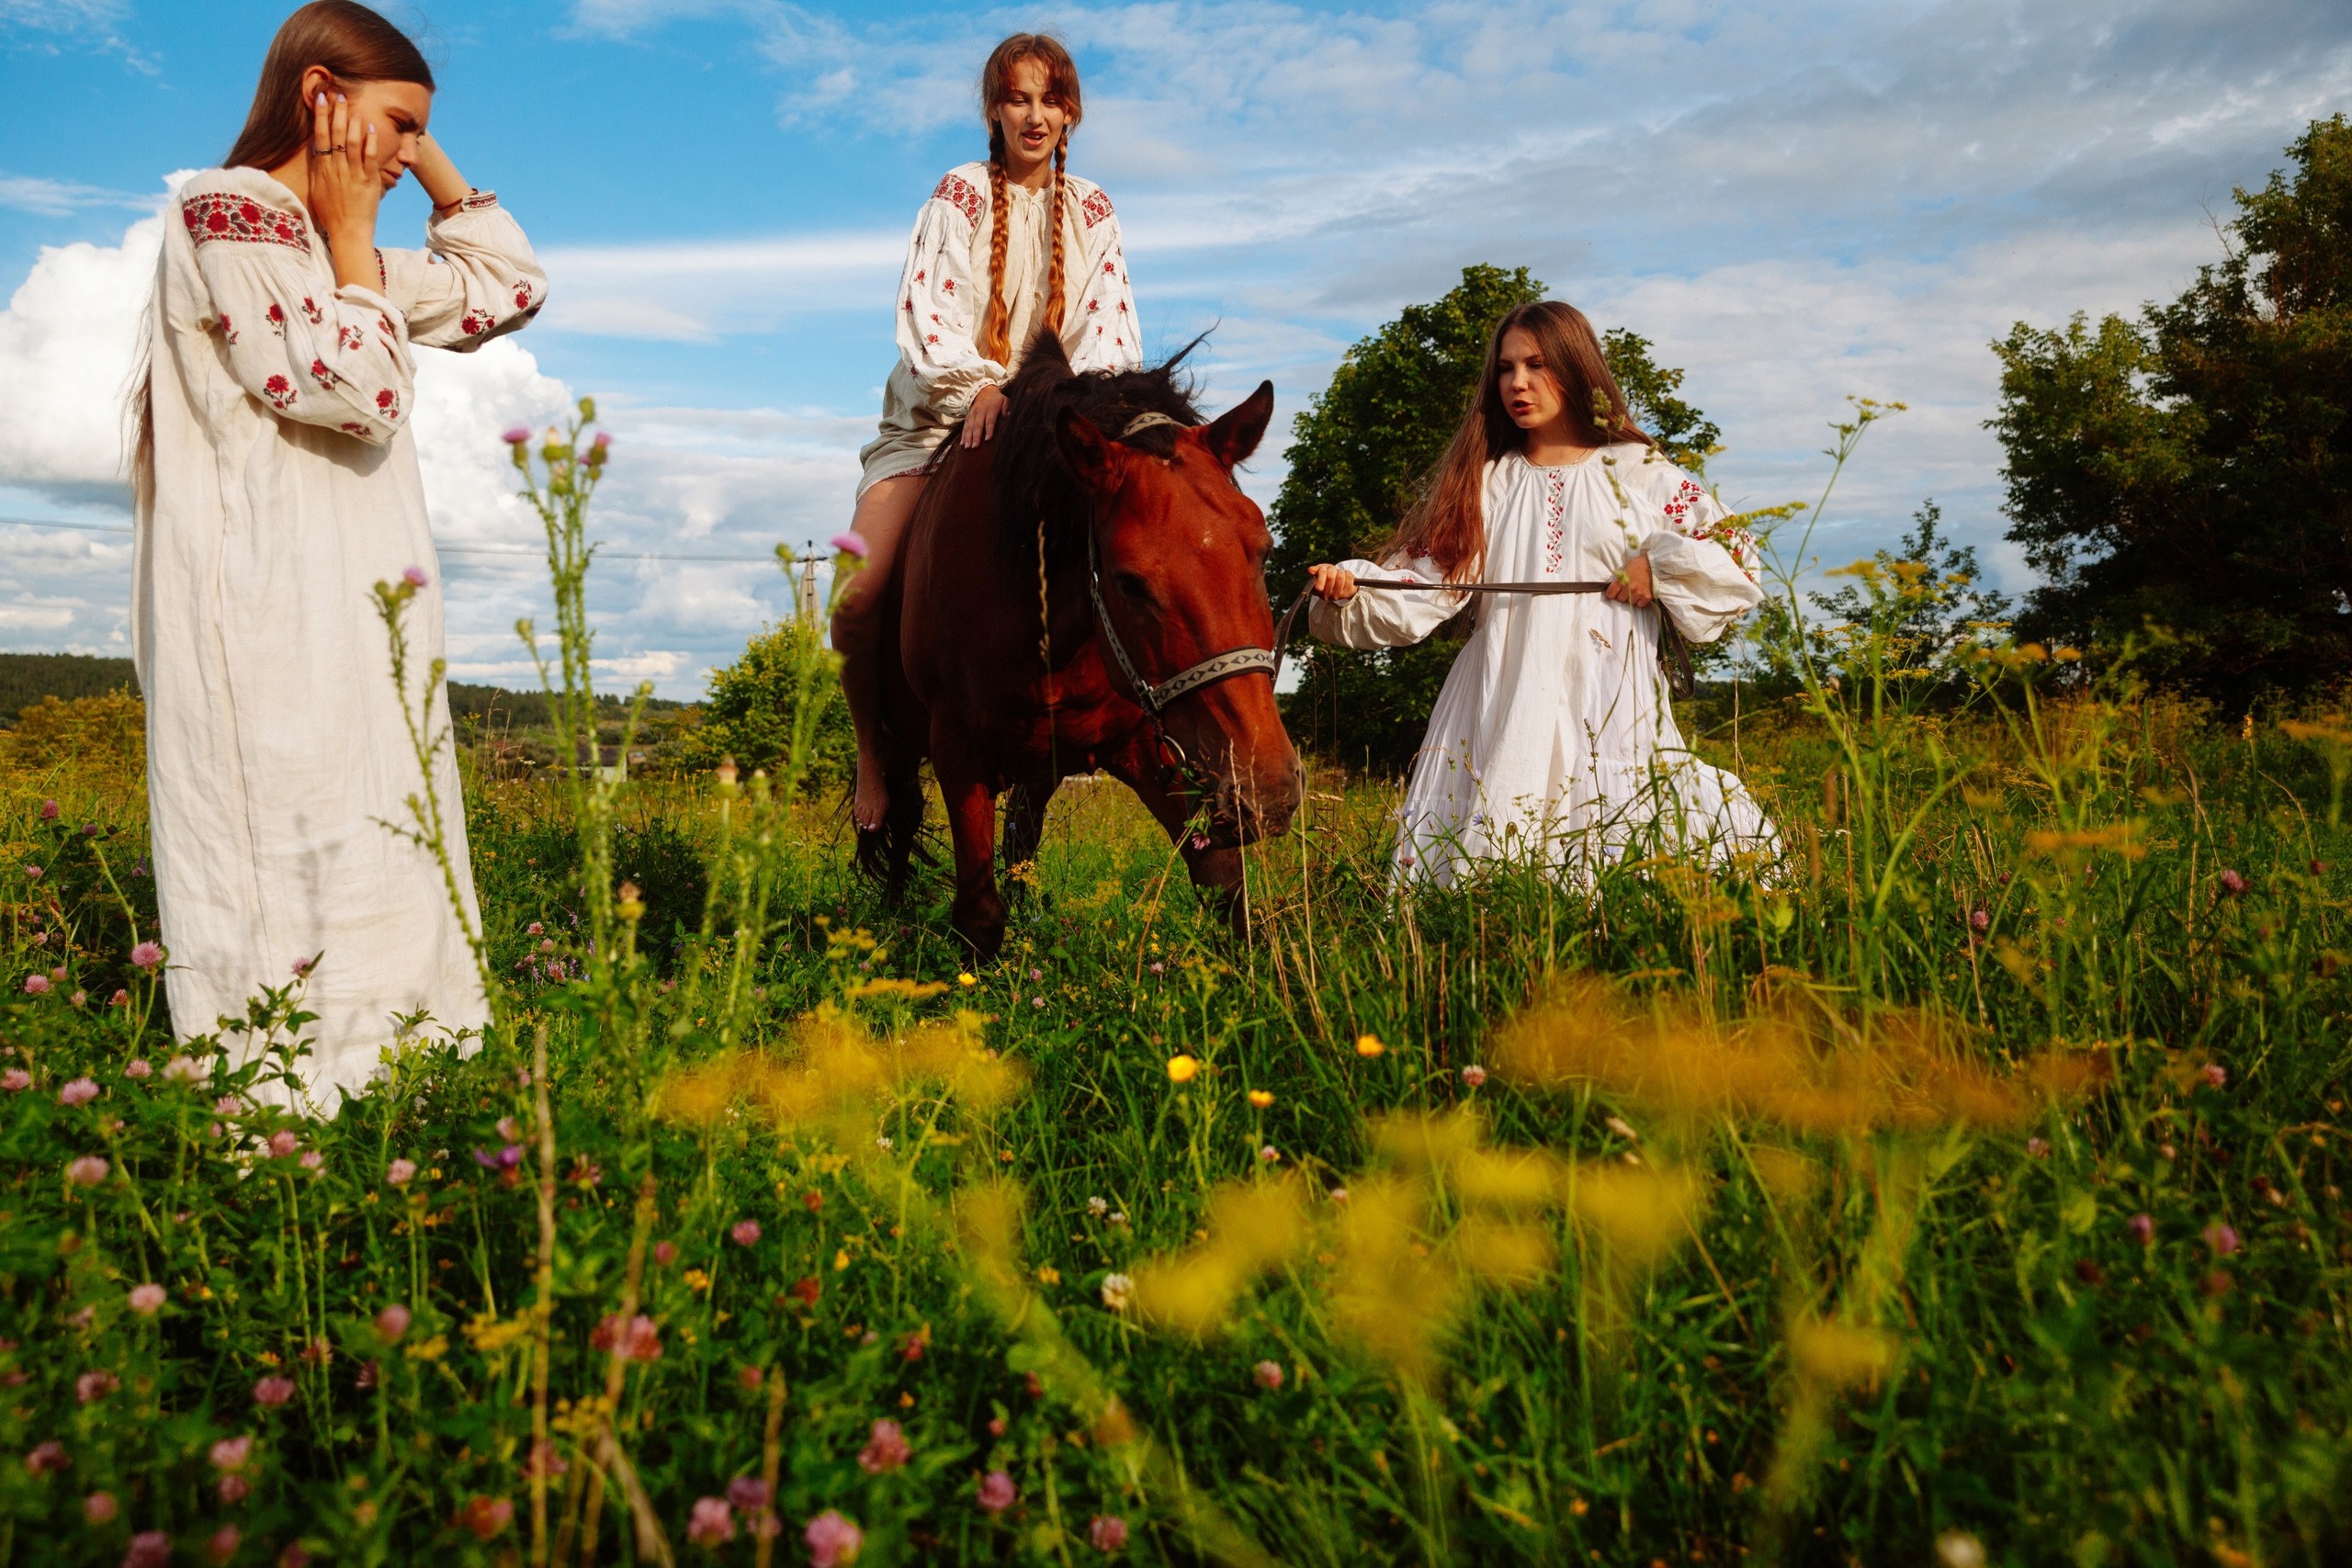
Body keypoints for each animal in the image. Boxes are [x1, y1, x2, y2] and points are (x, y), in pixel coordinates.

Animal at [865, 333, 1307, 959]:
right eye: (1128, 581)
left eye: (1263, 551)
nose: (1264, 789)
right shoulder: (958, 753)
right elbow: (979, 915)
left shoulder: (1150, 750)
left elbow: (1225, 892)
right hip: (900, 747)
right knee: (900, 824)